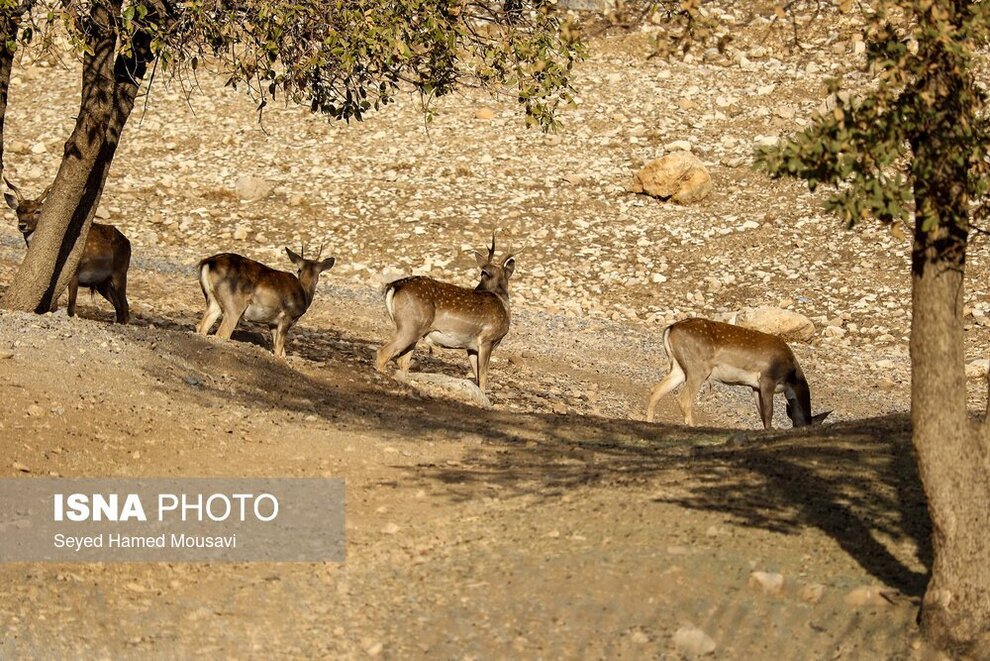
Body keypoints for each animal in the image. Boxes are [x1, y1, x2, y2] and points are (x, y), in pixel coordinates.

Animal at [4, 177, 134, 324]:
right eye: (18, 210)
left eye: (37, 211)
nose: (22, 225)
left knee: (125, 304)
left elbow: (71, 307)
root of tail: (127, 241)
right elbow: (54, 304)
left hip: (120, 271)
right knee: (118, 305)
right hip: (102, 283)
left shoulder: (74, 271)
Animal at [197, 245, 338, 358]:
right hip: (234, 305)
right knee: (222, 333)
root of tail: (208, 262)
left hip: (213, 301)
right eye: (299, 269)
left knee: (201, 326)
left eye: (317, 272)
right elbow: (279, 351)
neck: (304, 292)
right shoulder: (288, 316)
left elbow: (281, 351)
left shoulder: (272, 323)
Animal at [376, 233, 520, 392]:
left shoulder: (471, 348)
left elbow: (477, 377)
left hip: (414, 330)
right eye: (483, 273)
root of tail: (394, 286)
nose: (477, 290)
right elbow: (482, 379)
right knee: (383, 353)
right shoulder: (487, 340)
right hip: (410, 325)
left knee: (402, 360)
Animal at [648, 318, 832, 428]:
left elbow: (762, 415)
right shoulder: (768, 378)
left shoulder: (755, 387)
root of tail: (670, 328)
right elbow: (769, 413)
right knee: (684, 399)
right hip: (699, 367)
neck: (791, 378)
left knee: (656, 390)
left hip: (679, 367)